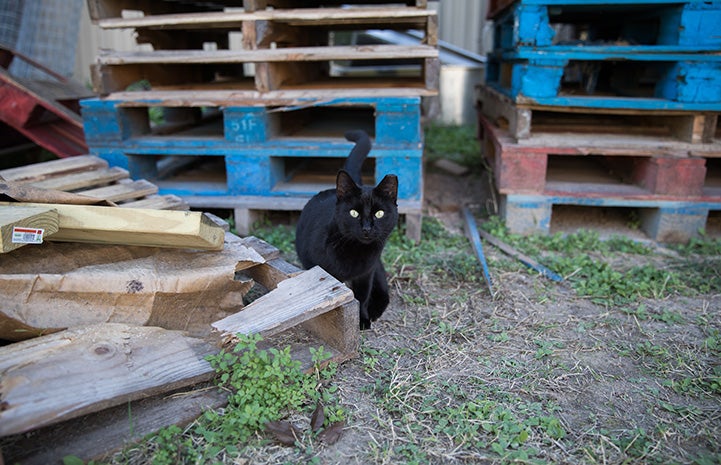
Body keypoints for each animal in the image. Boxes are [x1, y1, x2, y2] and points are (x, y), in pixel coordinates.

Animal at [296, 129, 400, 328]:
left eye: (379, 214)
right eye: (354, 213)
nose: (366, 228)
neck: (356, 251)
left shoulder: (366, 273)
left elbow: (361, 298)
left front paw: (362, 319)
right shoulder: (324, 272)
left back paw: (375, 310)